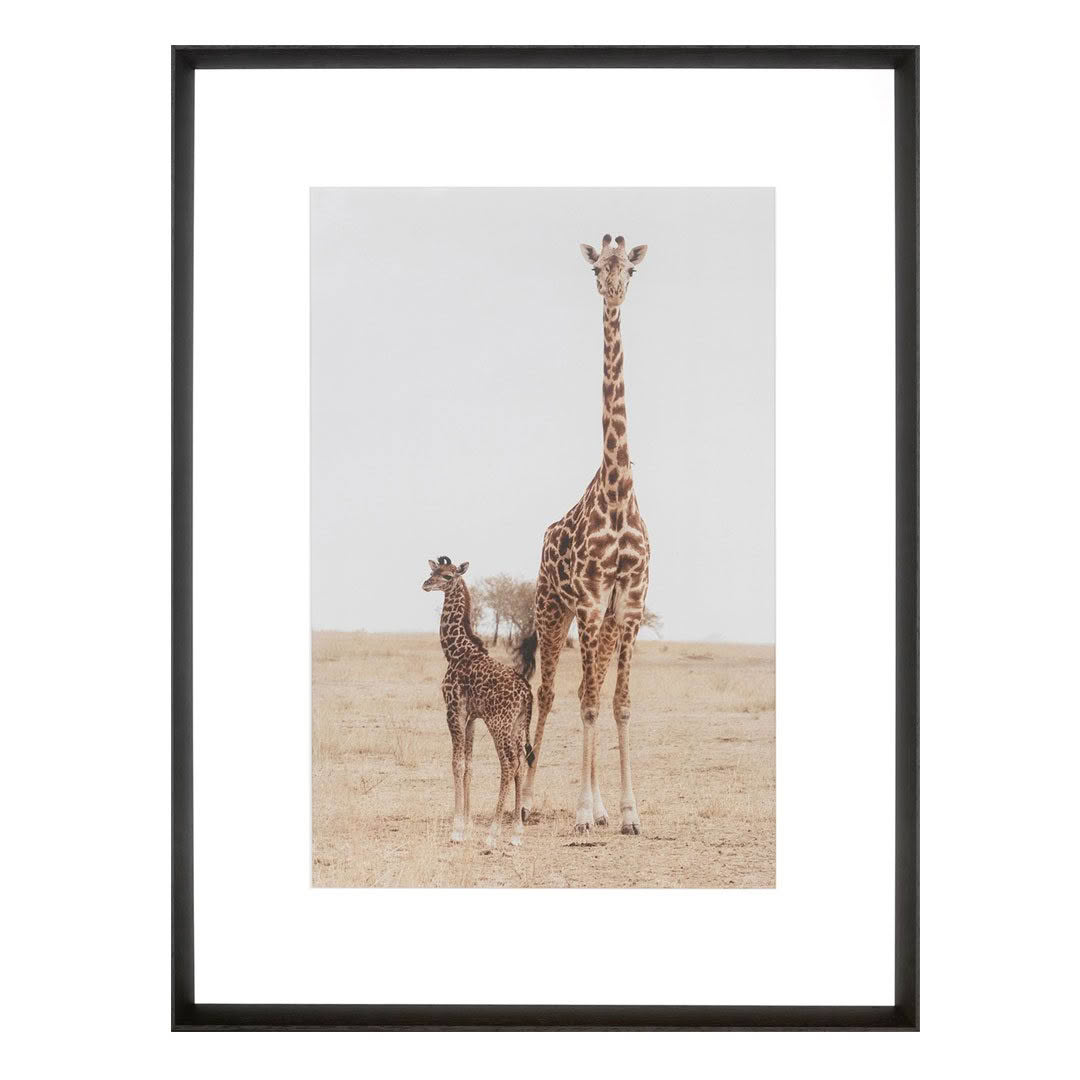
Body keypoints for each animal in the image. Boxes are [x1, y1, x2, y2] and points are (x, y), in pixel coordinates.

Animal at [422, 556, 534, 847]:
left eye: (448, 576)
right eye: (433, 570)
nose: (426, 584)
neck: (455, 651)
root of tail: (527, 693)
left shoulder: (453, 710)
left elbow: (457, 764)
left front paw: (457, 829)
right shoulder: (472, 717)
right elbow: (469, 766)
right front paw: (469, 825)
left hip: (499, 724)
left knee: (509, 764)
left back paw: (493, 833)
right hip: (518, 725)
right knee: (520, 763)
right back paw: (516, 832)